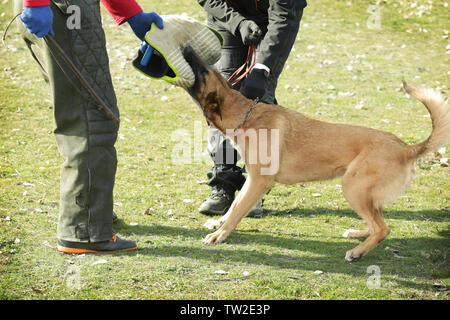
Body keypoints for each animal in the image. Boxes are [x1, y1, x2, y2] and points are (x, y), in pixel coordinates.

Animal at [182, 46, 450, 262]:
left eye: (204, 72)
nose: (187, 48)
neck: (246, 116)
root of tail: (406, 147)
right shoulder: (252, 180)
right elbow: (234, 205)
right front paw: (218, 223)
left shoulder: (259, 182)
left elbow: (238, 210)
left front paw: (219, 234)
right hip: (363, 193)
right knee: (378, 223)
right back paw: (357, 234)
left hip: (353, 188)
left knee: (382, 228)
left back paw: (357, 251)